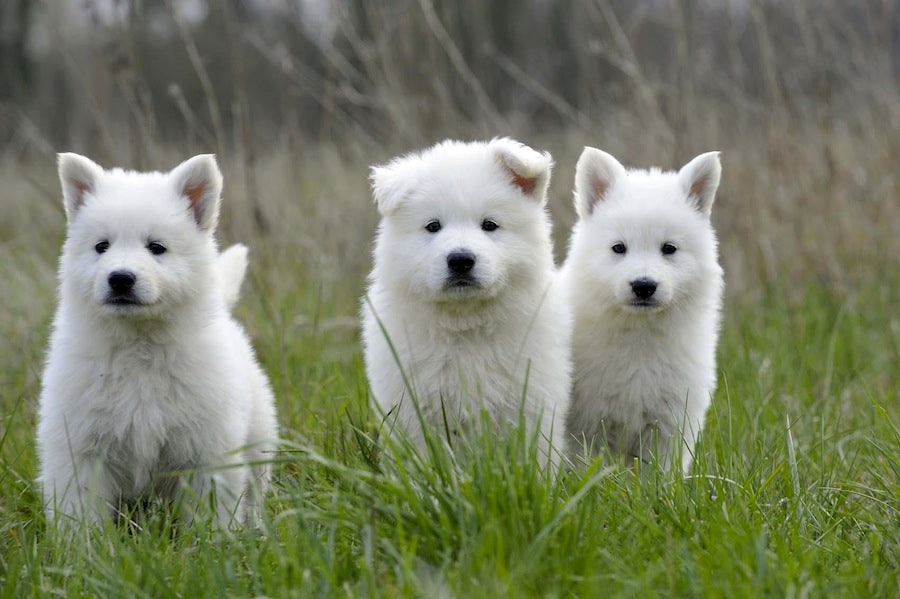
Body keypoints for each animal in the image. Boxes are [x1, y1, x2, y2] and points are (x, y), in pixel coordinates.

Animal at [36, 152, 278, 528]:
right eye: (101, 246)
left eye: (157, 248)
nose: (120, 278)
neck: (139, 347)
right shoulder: (81, 448)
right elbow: (81, 515)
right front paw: (83, 545)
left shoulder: (206, 448)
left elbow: (210, 513)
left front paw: (211, 541)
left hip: (257, 439)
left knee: (254, 493)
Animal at [362, 138, 572, 466]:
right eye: (433, 226)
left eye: (490, 225)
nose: (460, 260)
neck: (465, 324)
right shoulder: (410, 405)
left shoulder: (531, 397)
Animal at [564, 146, 724, 474]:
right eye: (618, 248)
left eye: (669, 248)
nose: (643, 285)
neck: (639, 333)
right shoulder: (586, 422)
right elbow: (586, 468)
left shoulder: (669, 423)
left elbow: (660, 474)